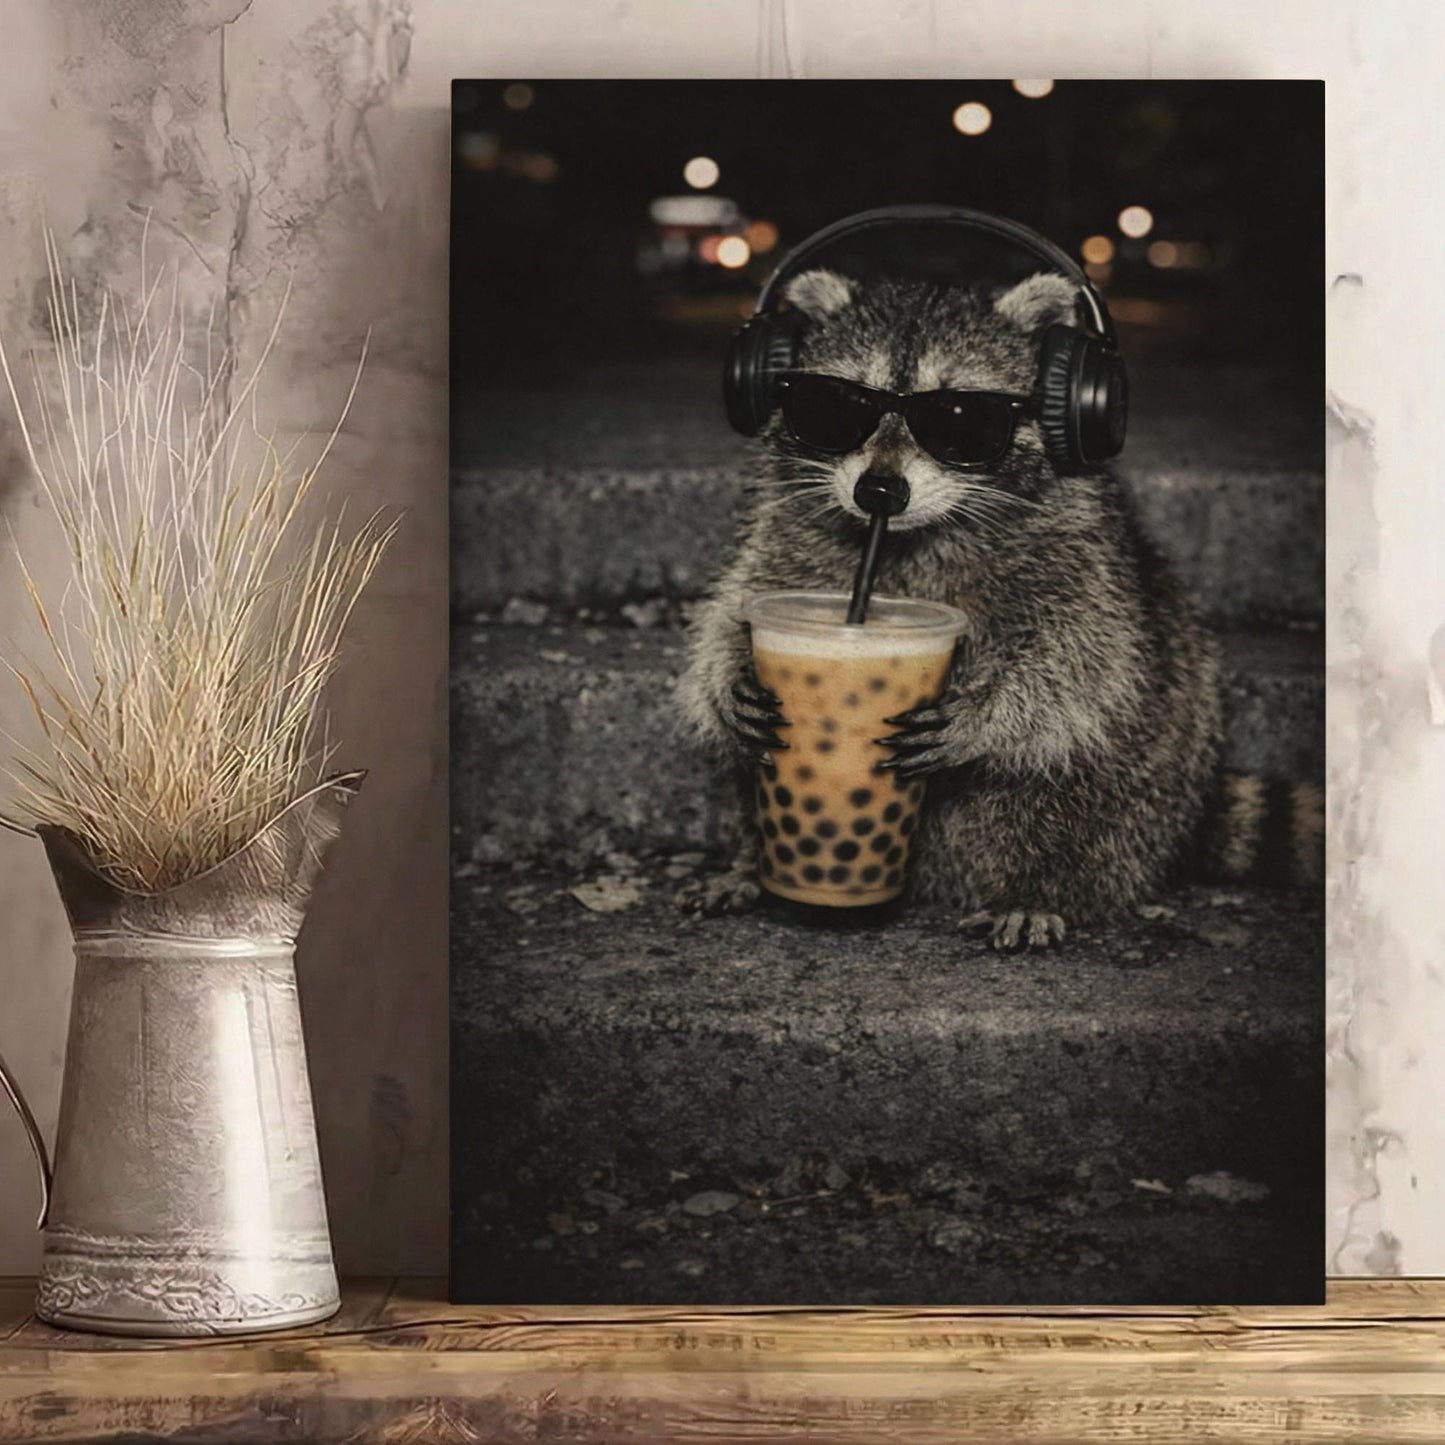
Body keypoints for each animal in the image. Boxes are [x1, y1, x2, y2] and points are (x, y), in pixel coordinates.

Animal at [677, 266, 1322, 948]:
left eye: (960, 416)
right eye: (835, 406)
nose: (879, 490)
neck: (911, 536)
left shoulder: (1082, 553)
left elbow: (1085, 657)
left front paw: (987, 712)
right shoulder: (788, 534)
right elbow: (732, 609)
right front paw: (728, 677)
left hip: (1150, 773)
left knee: (1074, 789)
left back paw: (1039, 888)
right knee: (743, 771)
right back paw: (749, 861)